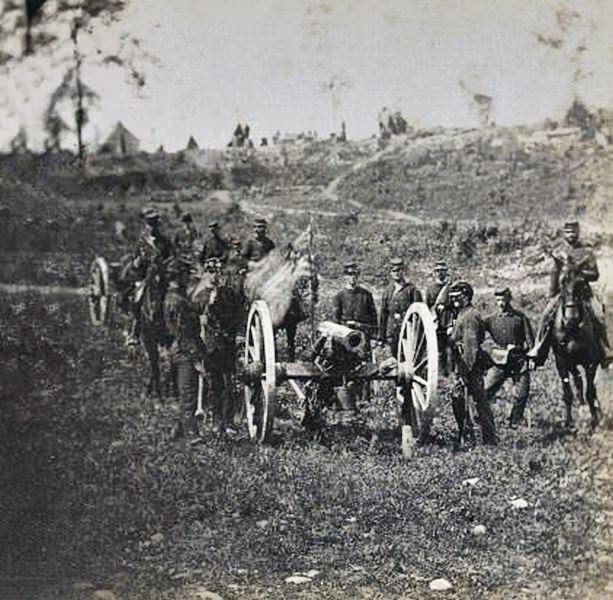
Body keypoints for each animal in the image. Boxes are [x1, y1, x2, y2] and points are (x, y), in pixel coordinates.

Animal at [548, 260, 604, 428]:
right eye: (562, 282)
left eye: (581, 284)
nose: (571, 319)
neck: (572, 330)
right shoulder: (562, 362)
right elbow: (569, 392)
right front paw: (567, 421)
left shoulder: (591, 363)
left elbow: (590, 391)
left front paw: (595, 420)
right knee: (578, 382)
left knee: (589, 388)